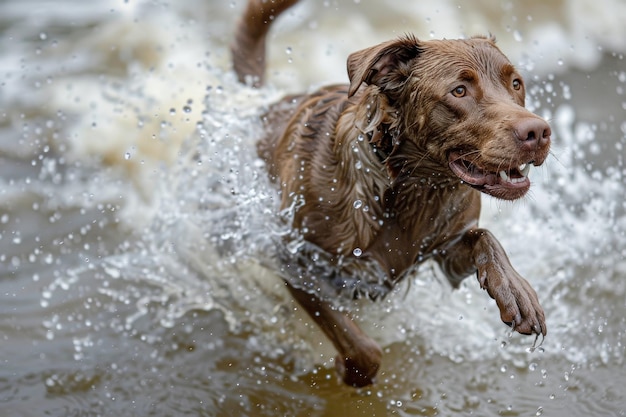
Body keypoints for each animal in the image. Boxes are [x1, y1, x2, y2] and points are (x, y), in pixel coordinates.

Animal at [228, 0, 544, 386]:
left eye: (516, 83)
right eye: (459, 91)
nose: (538, 131)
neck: (413, 187)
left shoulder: (448, 246)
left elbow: (485, 238)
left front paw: (517, 292)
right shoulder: (297, 261)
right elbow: (362, 347)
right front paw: (347, 370)